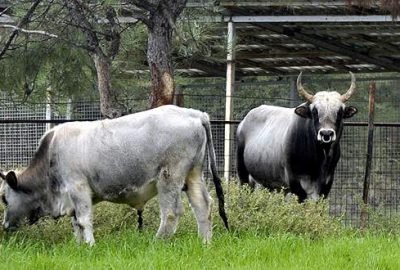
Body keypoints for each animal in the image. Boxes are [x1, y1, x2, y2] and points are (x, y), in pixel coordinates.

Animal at [0, 105, 228, 245]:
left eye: (4, 198)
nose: (5, 225)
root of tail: (195, 114)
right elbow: (76, 223)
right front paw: (78, 245)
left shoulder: (77, 187)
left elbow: (83, 220)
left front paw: (90, 245)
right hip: (193, 174)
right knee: (203, 206)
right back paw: (205, 242)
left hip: (169, 177)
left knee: (171, 212)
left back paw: (158, 241)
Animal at [236, 73, 358, 201]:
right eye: (314, 112)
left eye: (340, 112)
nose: (326, 134)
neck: (318, 160)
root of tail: (243, 122)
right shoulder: (295, 183)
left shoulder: (327, 183)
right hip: (243, 176)